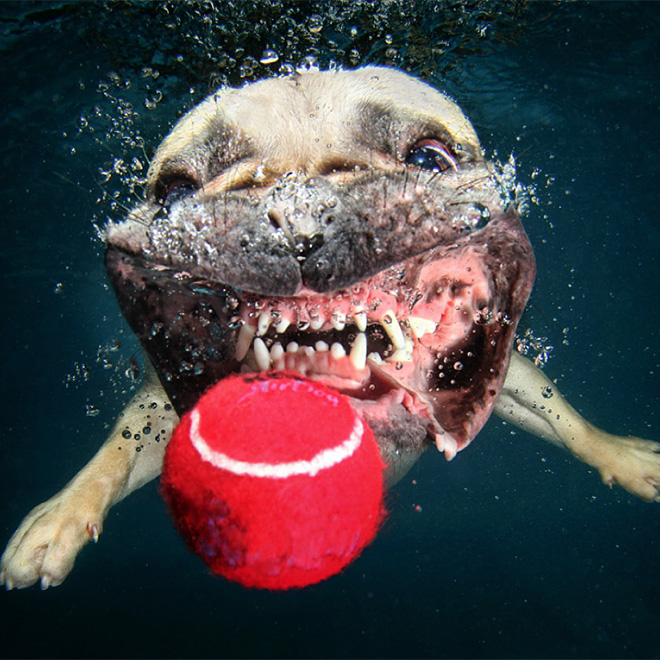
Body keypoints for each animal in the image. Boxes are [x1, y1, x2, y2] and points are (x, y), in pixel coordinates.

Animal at [2, 68, 656, 592]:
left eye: (430, 158)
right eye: (175, 192)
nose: (298, 207)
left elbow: (557, 413)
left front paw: (621, 457)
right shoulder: (164, 404)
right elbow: (115, 453)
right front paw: (59, 518)